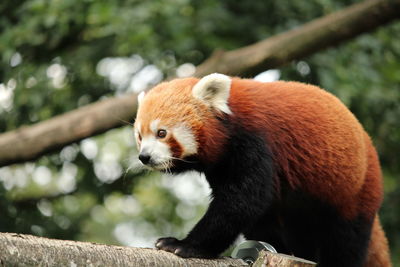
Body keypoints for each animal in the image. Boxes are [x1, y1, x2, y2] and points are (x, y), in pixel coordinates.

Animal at [133, 74, 390, 267]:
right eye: (140, 136)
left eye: (161, 133)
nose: (144, 157)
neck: (230, 123)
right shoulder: (222, 163)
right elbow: (250, 209)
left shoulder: (256, 142)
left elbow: (243, 201)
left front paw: (185, 245)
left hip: (355, 191)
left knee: (346, 240)